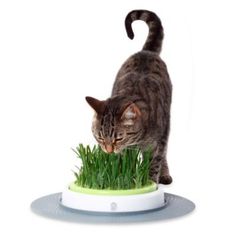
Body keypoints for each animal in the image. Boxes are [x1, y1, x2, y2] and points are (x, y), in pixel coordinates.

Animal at [85, 9, 172, 184]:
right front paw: (123, 179)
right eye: (100, 137)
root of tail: (146, 51)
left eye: (118, 138)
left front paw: (150, 183)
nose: (109, 150)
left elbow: (154, 164)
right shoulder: (125, 151)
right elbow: (123, 165)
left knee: (164, 153)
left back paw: (164, 175)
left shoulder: (157, 143)